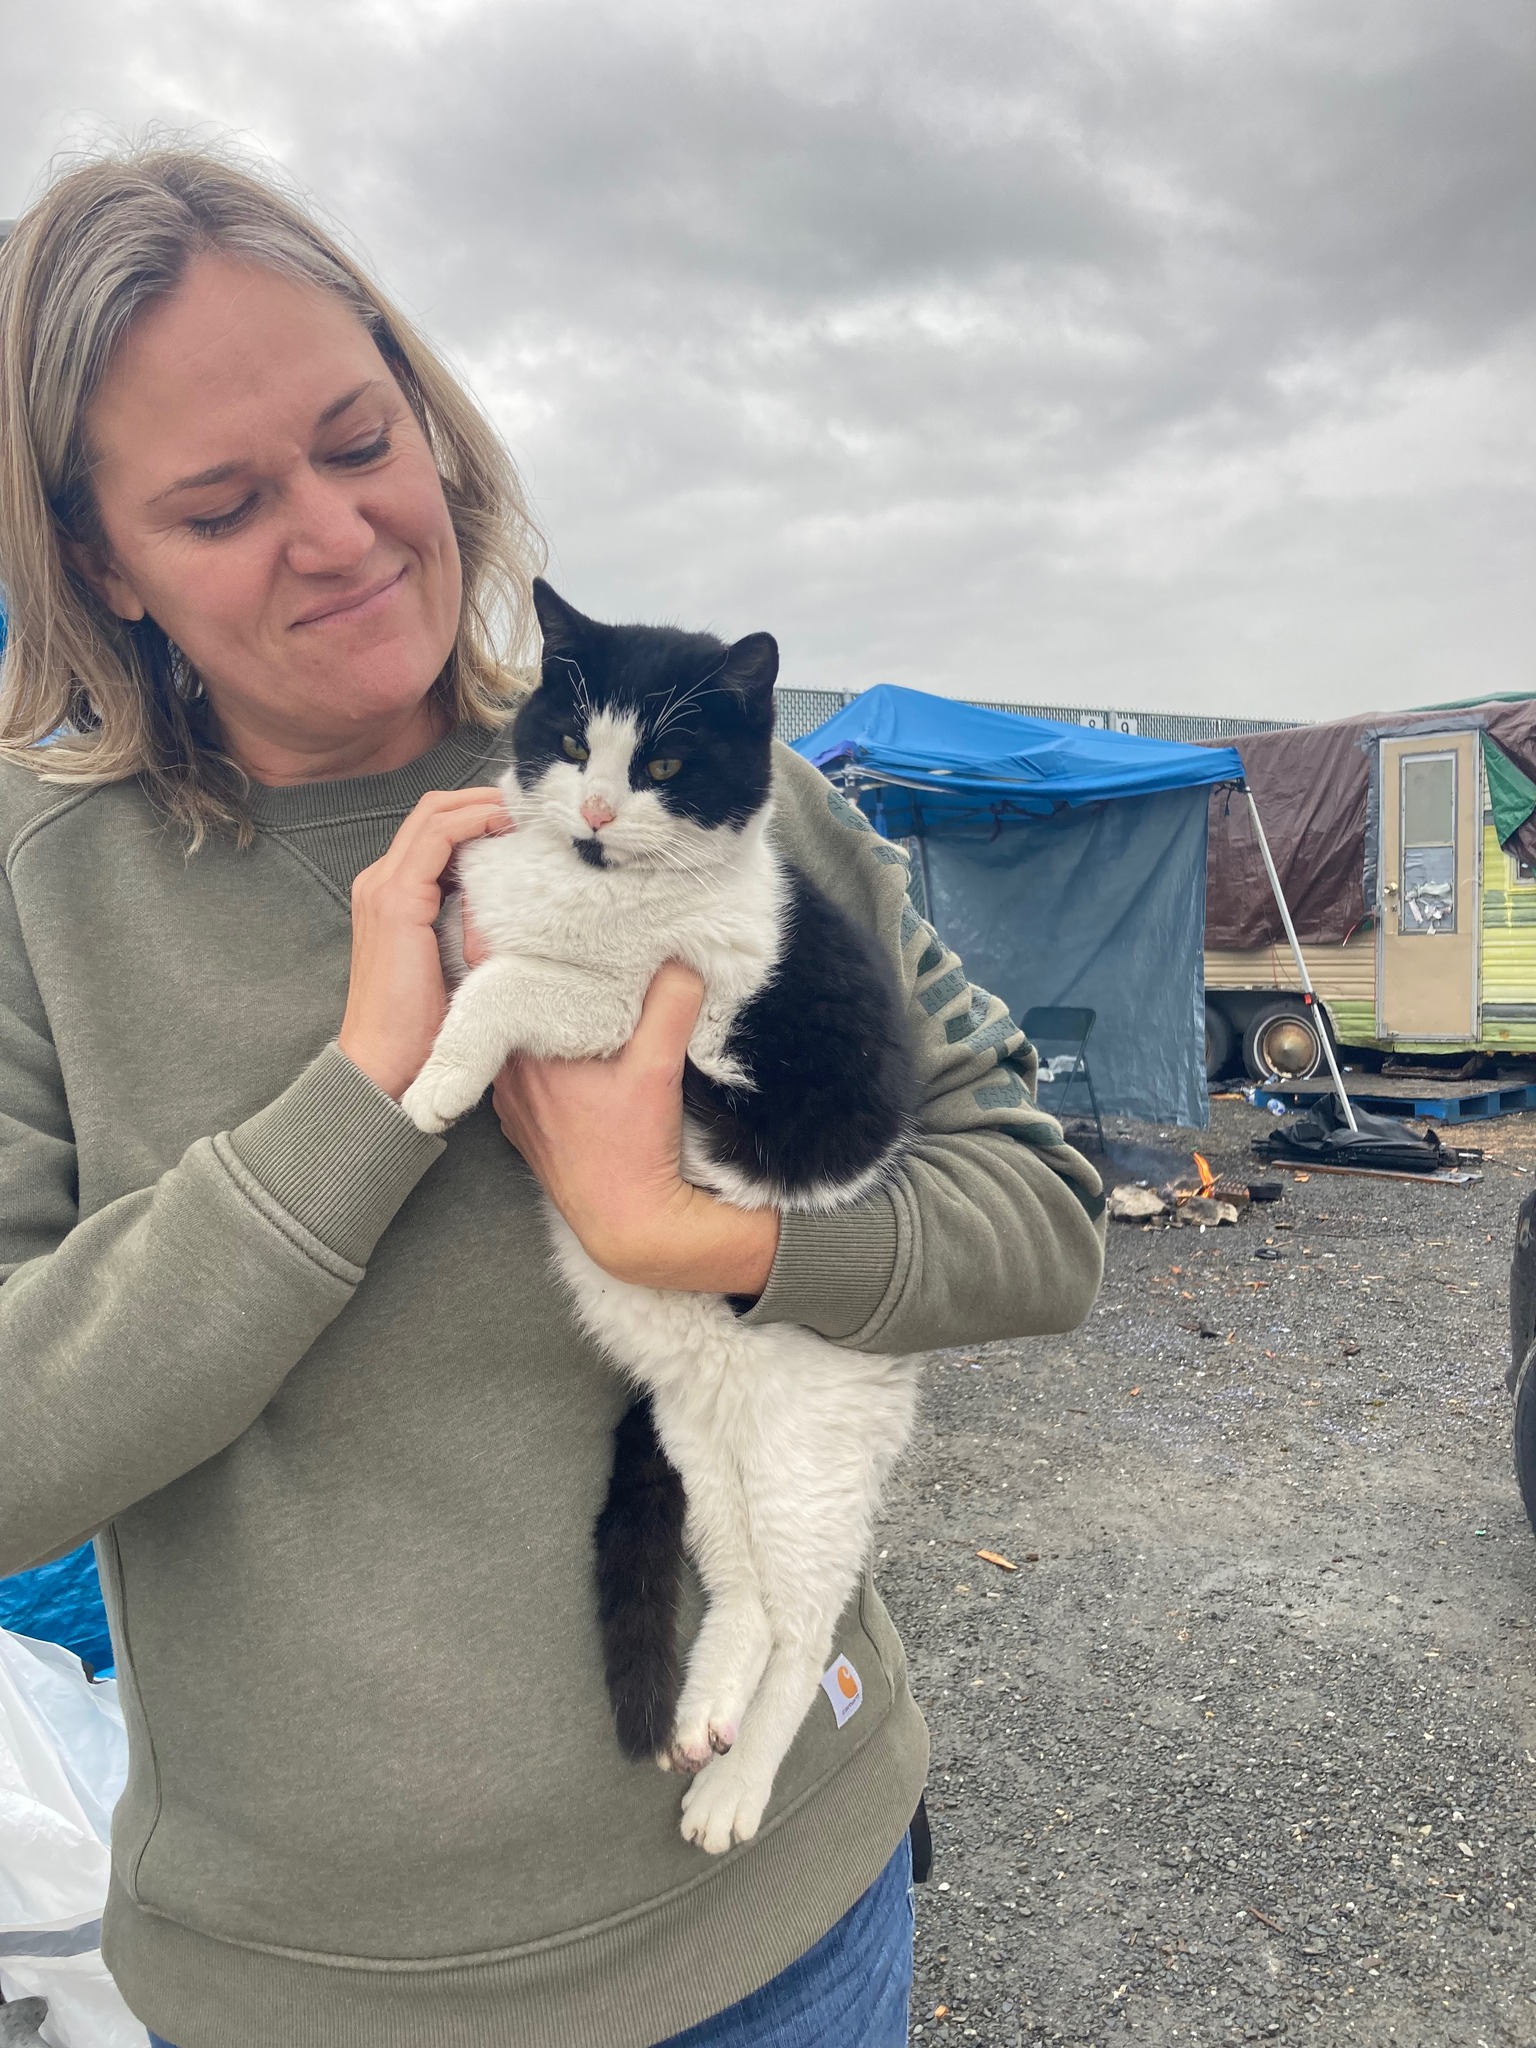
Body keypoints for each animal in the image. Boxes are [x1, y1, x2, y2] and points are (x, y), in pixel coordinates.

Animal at [403, 581, 921, 1859]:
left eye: (666, 763)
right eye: (572, 739)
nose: (593, 810)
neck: (595, 882)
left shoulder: (632, 1013)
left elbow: (507, 983)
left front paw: (432, 1084)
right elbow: (462, 947)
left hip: (803, 1463)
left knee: (803, 1627)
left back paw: (735, 1791)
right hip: (701, 1438)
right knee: (746, 1597)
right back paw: (701, 1719)